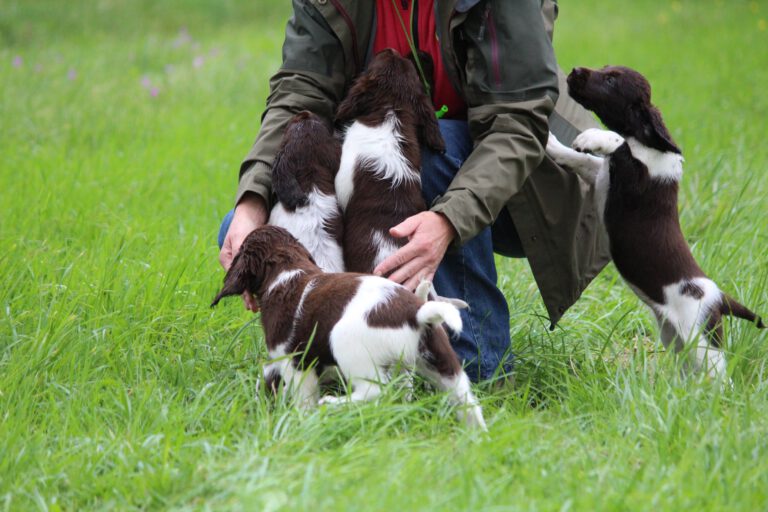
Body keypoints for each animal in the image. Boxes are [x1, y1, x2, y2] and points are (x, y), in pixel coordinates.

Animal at [210, 226, 486, 430]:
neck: (286, 272)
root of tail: (416, 314)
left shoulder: (294, 362)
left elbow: (302, 398)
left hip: (347, 344)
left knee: (375, 390)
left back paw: (333, 403)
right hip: (441, 362)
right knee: (466, 400)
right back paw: (475, 436)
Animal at [544, 65, 760, 380]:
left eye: (611, 80)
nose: (574, 71)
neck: (645, 141)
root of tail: (721, 298)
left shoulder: (635, 178)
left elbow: (619, 143)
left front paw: (592, 137)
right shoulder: (601, 176)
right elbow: (579, 158)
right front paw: (550, 141)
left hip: (702, 342)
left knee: (722, 378)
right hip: (676, 339)